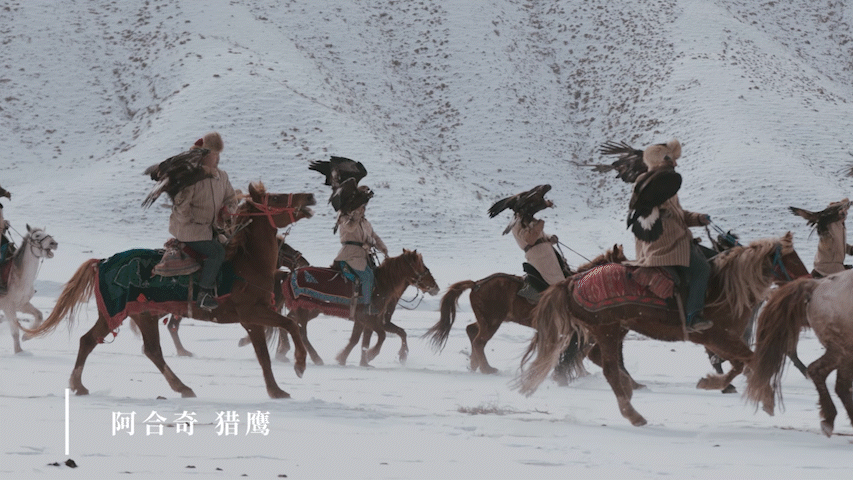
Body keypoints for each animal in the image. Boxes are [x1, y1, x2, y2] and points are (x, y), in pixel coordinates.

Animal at [0, 225, 58, 353]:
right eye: (37, 235)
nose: (54, 243)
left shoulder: (22, 305)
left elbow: (39, 315)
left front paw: (26, 336)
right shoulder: (8, 307)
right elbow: (15, 331)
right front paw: (19, 352)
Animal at [23, 183, 316, 399]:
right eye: (275, 197)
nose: (310, 196)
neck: (246, 263)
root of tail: (102, 262)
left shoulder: (254, 318)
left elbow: (269, 350)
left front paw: (278, 388)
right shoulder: (252, 314)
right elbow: (286, 328)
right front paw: (298, 366)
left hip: (141, 315)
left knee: (137, 348)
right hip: (119, 313)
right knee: (96, 342)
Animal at [281, 249, 440, 367]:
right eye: (421, 265)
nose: (435, 287)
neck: (382, 285)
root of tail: (289, 277)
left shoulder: (368, 320)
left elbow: (363, 339)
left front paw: (357, 361)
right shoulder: (369, 319)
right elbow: (380, 336)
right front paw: (370, 356)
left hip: (311, 310)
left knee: (289, 321)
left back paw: (283, 351)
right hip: (304, 309)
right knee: (301, 331)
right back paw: (315, 358)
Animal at [424, 245, 627, 375]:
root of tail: (477, 284)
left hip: (487, 320)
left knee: (472, 331)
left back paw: (475, 365)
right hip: (492, 321)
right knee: (479, 342)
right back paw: (487, 369)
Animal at [516, 232, 809, 426]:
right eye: (789, 258)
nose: (809, 278)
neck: (725, 287)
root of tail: (571, 282)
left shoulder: (720, 339)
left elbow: (740, 363)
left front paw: (714, 383)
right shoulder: (715, 335)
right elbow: (750, 360)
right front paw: (763, 398)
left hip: (611, 331)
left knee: (600, 360)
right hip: (608, 330)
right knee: (609, 368)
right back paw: (634, 414)